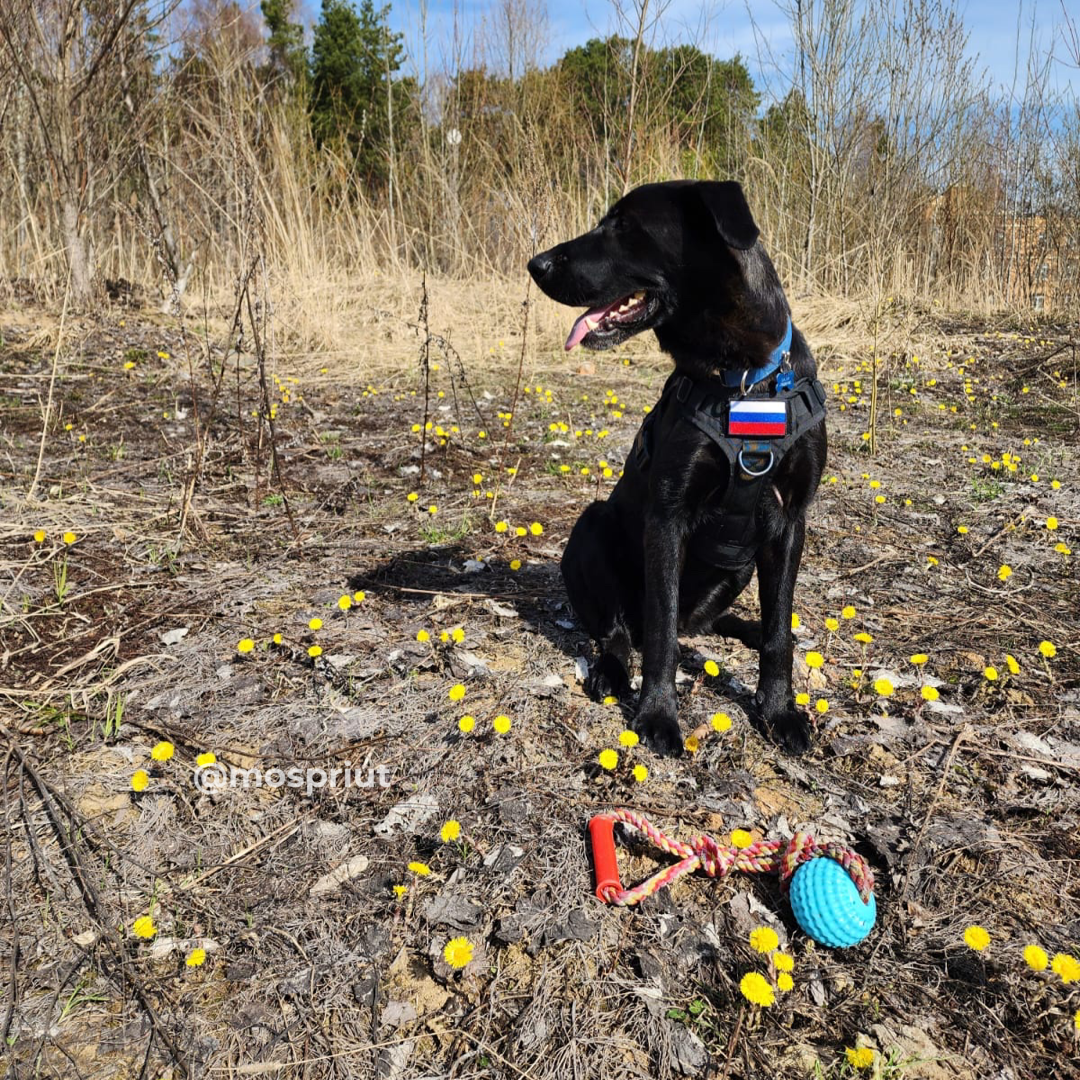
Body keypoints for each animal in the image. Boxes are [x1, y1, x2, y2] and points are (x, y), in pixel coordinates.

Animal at [529, 179, 825, 751]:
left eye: (624, 226)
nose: (537, 264)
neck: (743, 378)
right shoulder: (667, 518)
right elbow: (662, 630)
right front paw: (658, 715)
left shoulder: (789, 520)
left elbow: (779, 629)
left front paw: (778, 710)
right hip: (592, 527)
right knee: (624, 631)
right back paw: (611, 672)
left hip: (738, 565)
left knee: (711, 623)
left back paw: (747, 629)